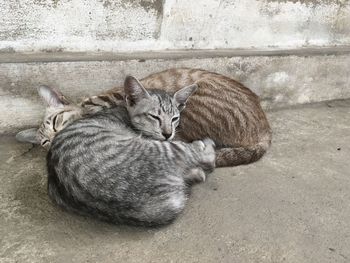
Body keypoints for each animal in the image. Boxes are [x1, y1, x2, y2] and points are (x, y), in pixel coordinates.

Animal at [45, 76, 215, 227]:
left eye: (174, 118)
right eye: (154, 117)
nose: (168, 134)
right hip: (157, 149)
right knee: (204, 158)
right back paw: (204, 148)